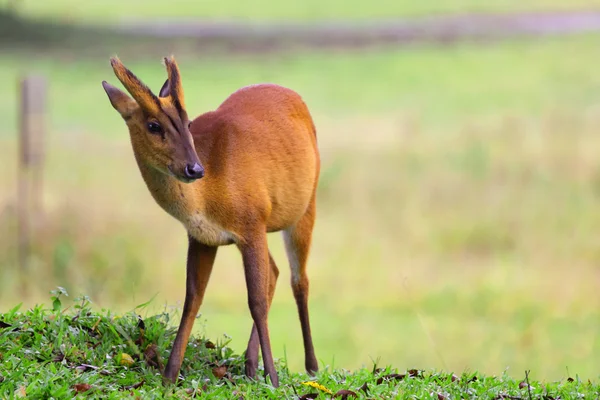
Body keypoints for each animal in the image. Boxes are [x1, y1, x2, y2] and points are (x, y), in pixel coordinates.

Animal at [101, 56, 322, 388]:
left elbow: (255, 301)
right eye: (153, 125)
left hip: (306, 205)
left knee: (300, 280)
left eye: (188, 123)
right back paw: (250, 364)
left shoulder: (252, 221)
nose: (194, 169)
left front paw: (273, 378)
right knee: (275, 271)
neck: (209, 194)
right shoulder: (202, 237)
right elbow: (193, 298)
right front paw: (169, 376)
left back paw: (311, 367)